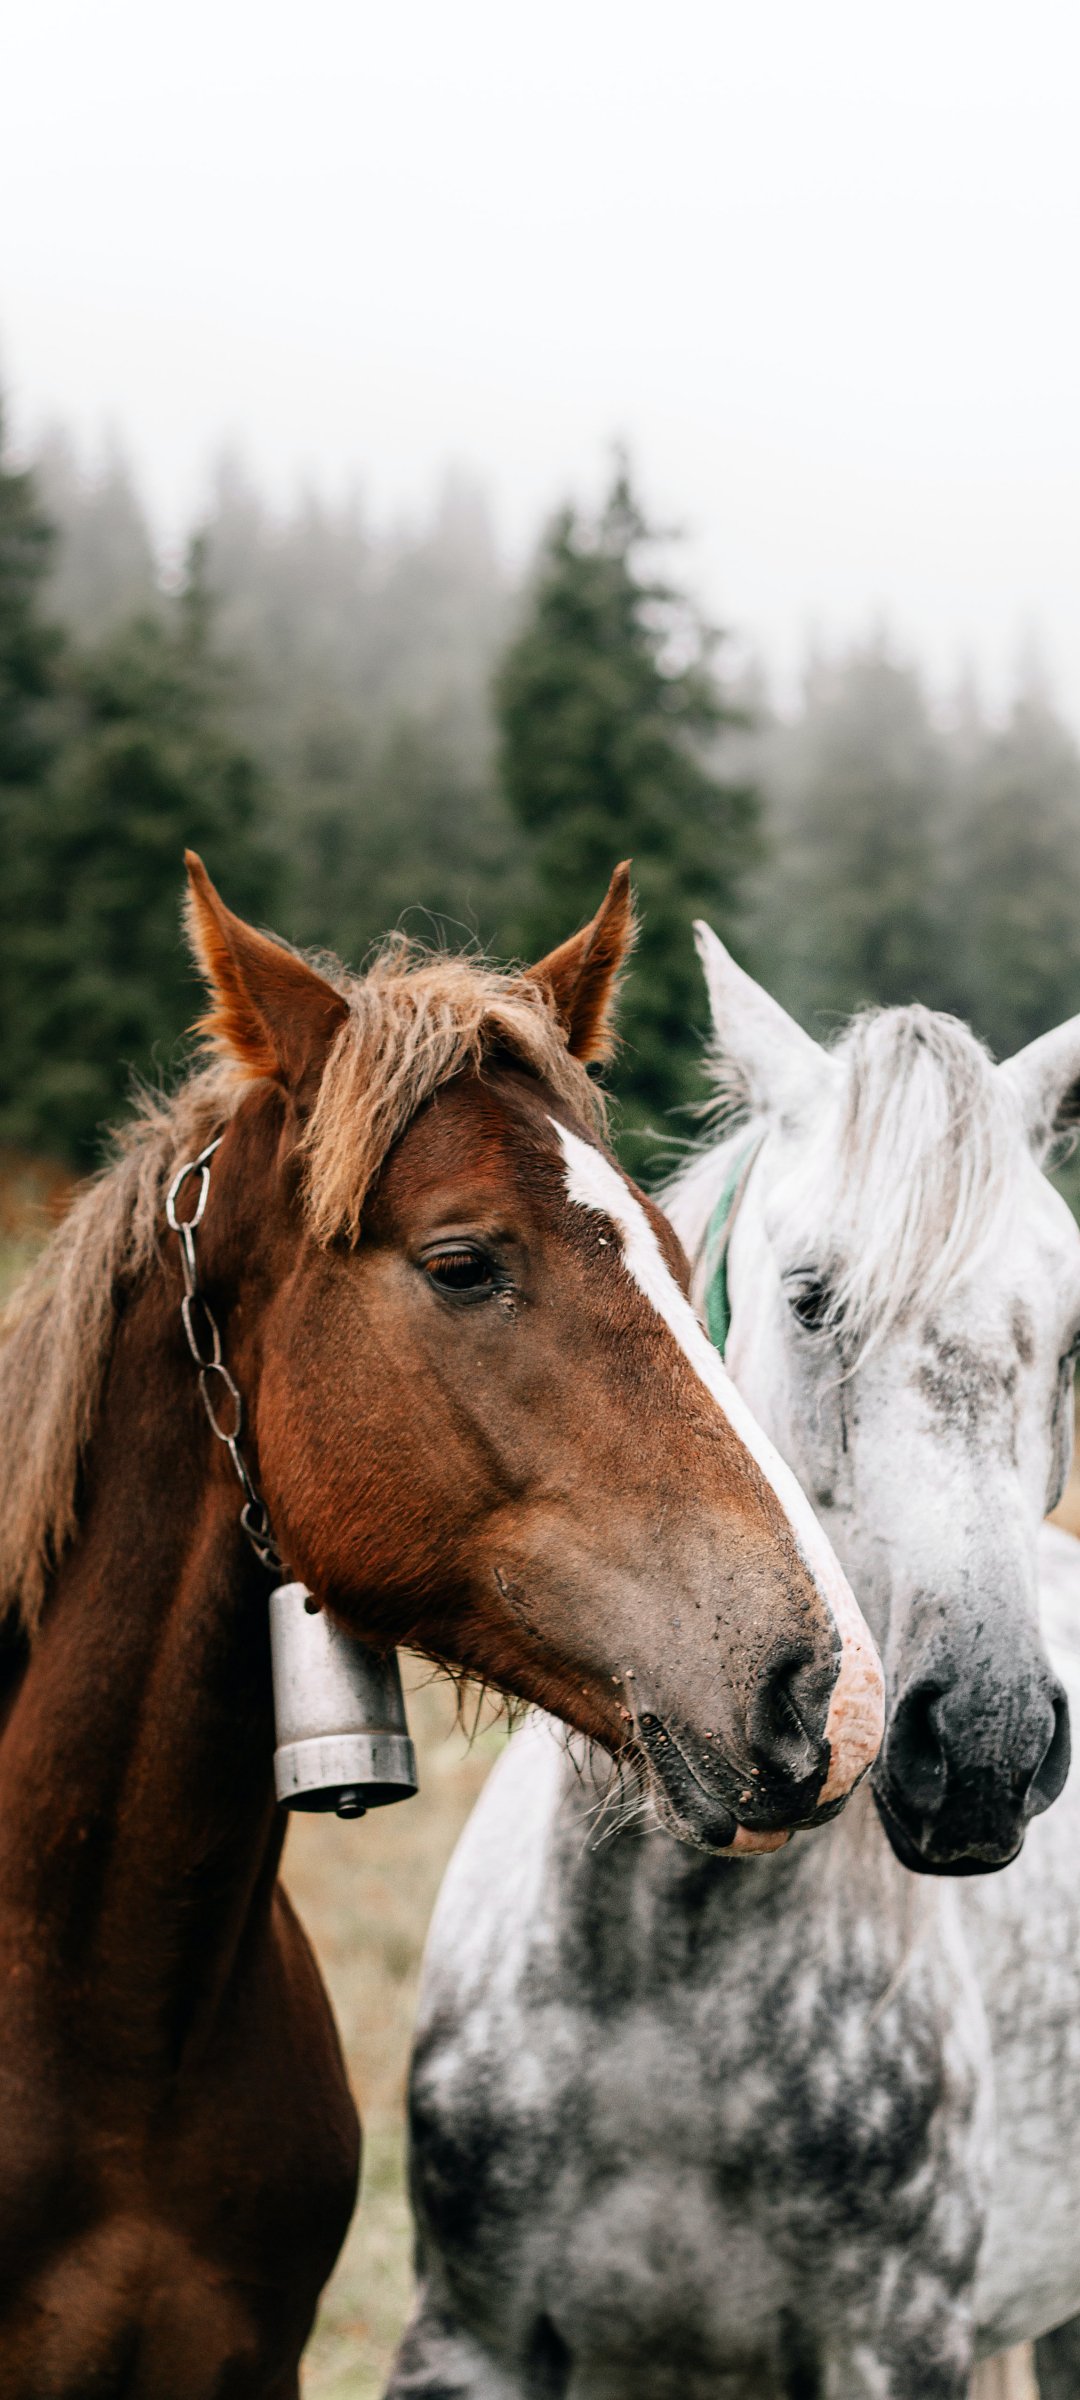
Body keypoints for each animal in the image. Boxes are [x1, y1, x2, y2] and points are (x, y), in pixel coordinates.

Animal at [392, 930, 1080, 2400]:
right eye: (814, 1301)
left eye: (1070, 1332)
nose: (985, 1746)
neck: (665, 1971)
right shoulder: (469, 2339)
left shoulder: (897, 2351)